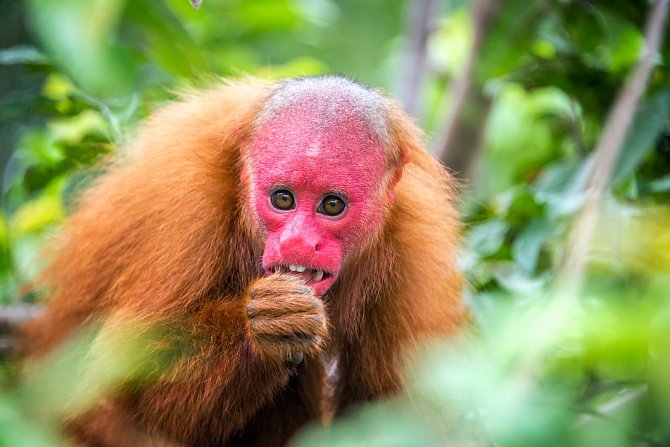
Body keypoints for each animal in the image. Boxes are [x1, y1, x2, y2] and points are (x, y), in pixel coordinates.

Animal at [25, 78, 468, 447]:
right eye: (283, 198)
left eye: (332, 205)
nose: (297, 241)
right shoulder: (184, 208)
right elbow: (116, 391)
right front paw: (265, 324)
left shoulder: (414, 246)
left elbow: (396, 418)